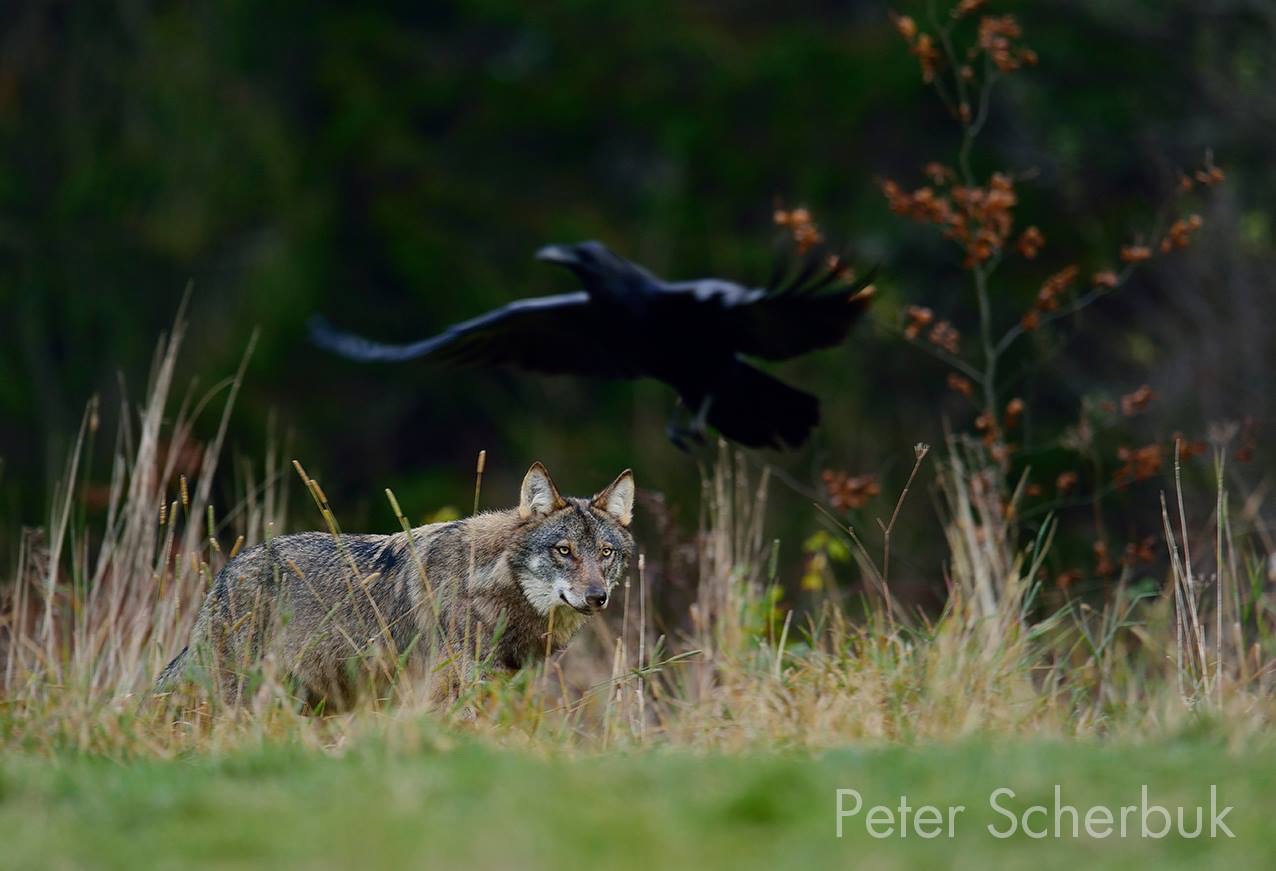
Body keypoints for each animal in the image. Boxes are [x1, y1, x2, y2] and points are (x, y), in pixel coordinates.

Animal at [154, 459, 632, 714]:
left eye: (605, 553)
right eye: (564, 551)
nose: (597, 597)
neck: (490, 587)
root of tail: (224, 574)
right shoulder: (447, 696)